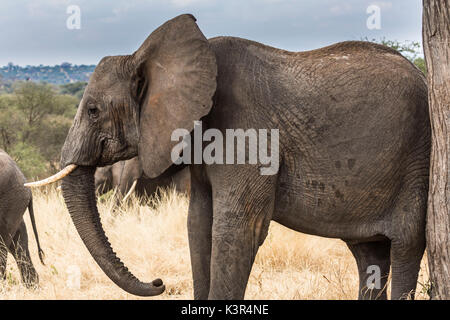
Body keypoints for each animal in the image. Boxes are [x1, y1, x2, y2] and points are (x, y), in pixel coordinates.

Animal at [27, 14, 428, 300]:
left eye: (93, 111)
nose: (158, 282)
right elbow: (198, 224)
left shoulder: (246, 130)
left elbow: (234, 228)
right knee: (370, 255)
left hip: (417, 161)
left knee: (407, 246)